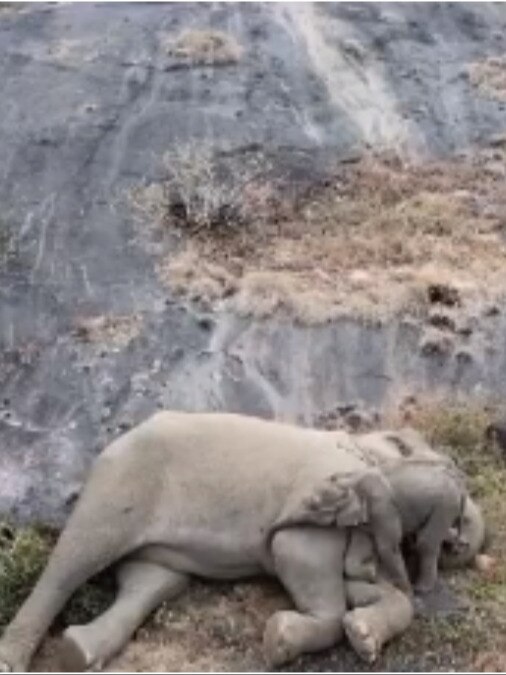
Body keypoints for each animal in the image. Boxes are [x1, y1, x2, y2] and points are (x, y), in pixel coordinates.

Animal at [0, 412, 485, 672]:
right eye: (452, 474)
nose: (462, 542)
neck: (361, 445)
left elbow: (360, 588)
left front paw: (364, 634)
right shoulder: (320, 493)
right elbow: (297, 555)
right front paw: (279, 641)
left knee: (151, 582)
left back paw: (78, 651)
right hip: (121, 484)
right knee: (74, 560)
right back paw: (16, 659)